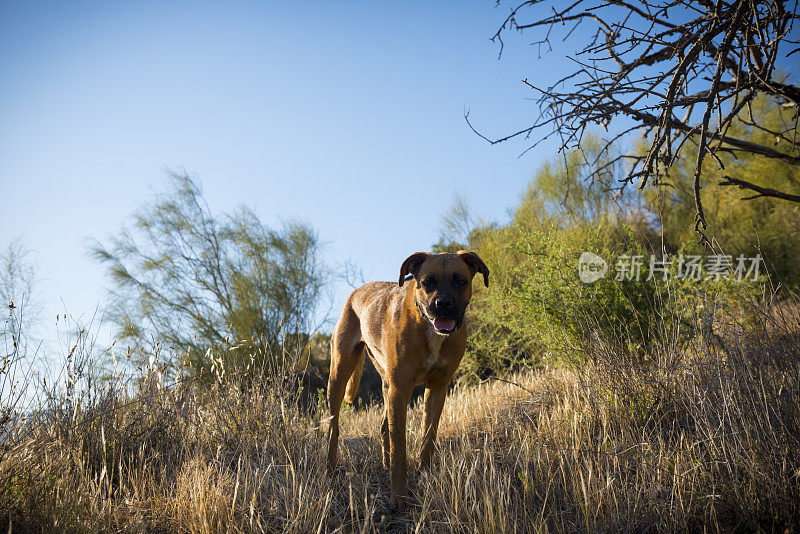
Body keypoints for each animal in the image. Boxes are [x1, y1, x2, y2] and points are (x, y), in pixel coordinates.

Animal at [328, 251, 490, 510]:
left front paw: (426, 478)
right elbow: (400, 448)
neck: (428, 328)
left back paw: (383, 464)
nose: (442, 304)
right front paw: (399, 496)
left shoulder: (437, 388)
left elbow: (428, 438)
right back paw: (330, 467)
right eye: (427, 282)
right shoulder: (401, 389)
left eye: (460, 281)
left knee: (384, 426)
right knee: (334, 428)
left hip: (386, 385)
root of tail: (356, 292)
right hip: (340, 373)